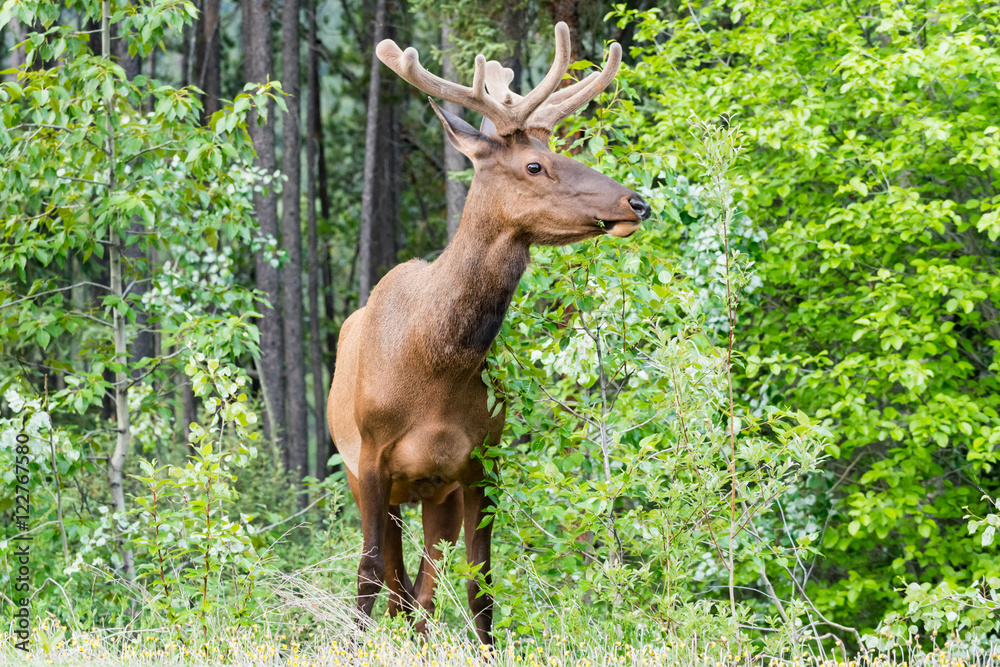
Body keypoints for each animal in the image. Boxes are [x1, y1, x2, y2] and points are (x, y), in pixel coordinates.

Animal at [326, 22, 650, 647]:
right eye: (533, 166)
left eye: (557, 151)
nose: (637, 201)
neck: (434, 367)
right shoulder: (372, 459)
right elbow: (369, 572)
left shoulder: (480, 461)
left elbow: (481, 584)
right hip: (372, 480)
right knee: (397, 582)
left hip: (437, 496)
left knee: (421, 591)